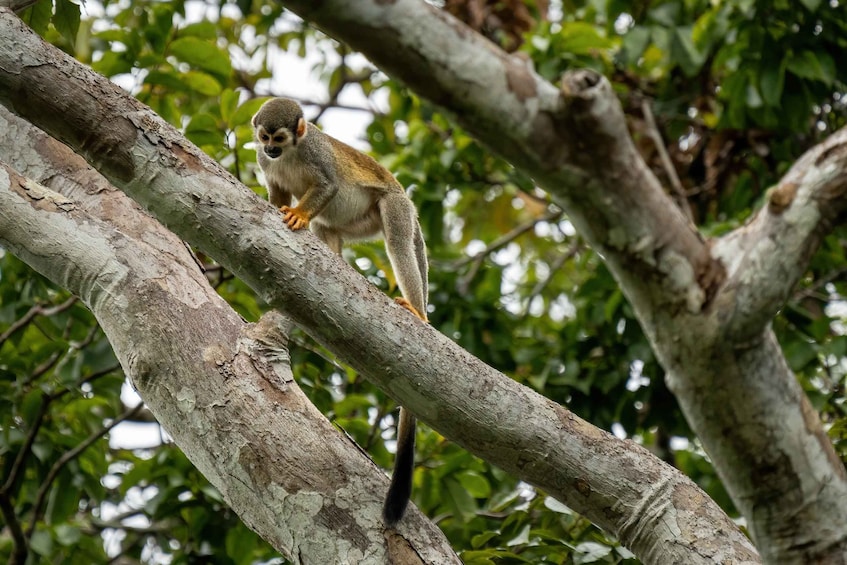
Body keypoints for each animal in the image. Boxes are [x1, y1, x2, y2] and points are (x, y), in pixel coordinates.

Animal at [250, 97, 424, 524]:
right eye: (264, 138)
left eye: (280, 138)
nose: (270, 150)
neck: (292, 152)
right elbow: (277, 192)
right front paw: (280, 206)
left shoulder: (314, 152)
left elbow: (327, 184)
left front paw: (298, 214)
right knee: (329, 229)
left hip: (394, 205)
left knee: (397, 239)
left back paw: (417, 311)